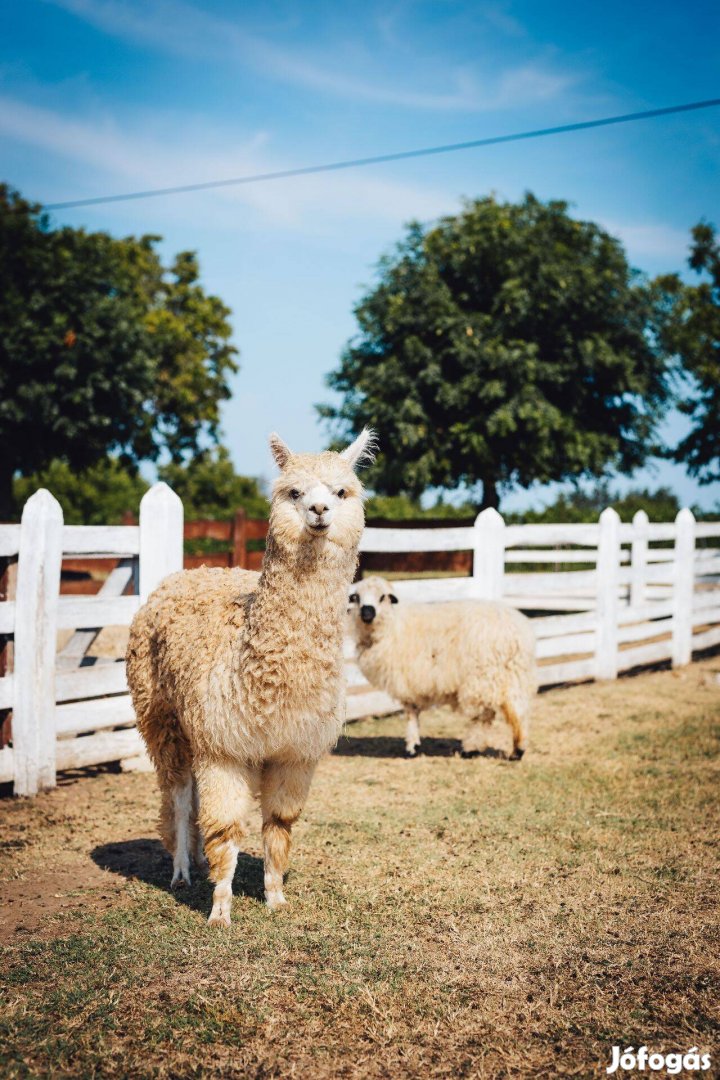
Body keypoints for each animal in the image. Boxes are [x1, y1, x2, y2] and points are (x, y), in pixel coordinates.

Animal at [126, 429, 375, 928]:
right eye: (294, 492)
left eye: (342, 492)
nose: (320, 511)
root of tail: (188, 573)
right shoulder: (224, 747)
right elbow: (225, 829)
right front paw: (220, 911)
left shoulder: (293, 751)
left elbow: (278, 826)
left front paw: (275, 898)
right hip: (162, 716)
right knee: (179, 794)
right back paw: (182, 870)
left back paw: (194, 861)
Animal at [345, 574, 537, 760]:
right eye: (357, 597)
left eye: (382, 597)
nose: (367, 612)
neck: (393, 625)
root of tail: (517, 631)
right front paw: (413, 745)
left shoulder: (408, 682)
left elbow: (411, 714)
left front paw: (412, 748)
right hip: (512, 675)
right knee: (518, 710)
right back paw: (517, 751)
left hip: (481, 678)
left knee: (482, 716)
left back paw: (471, 749)